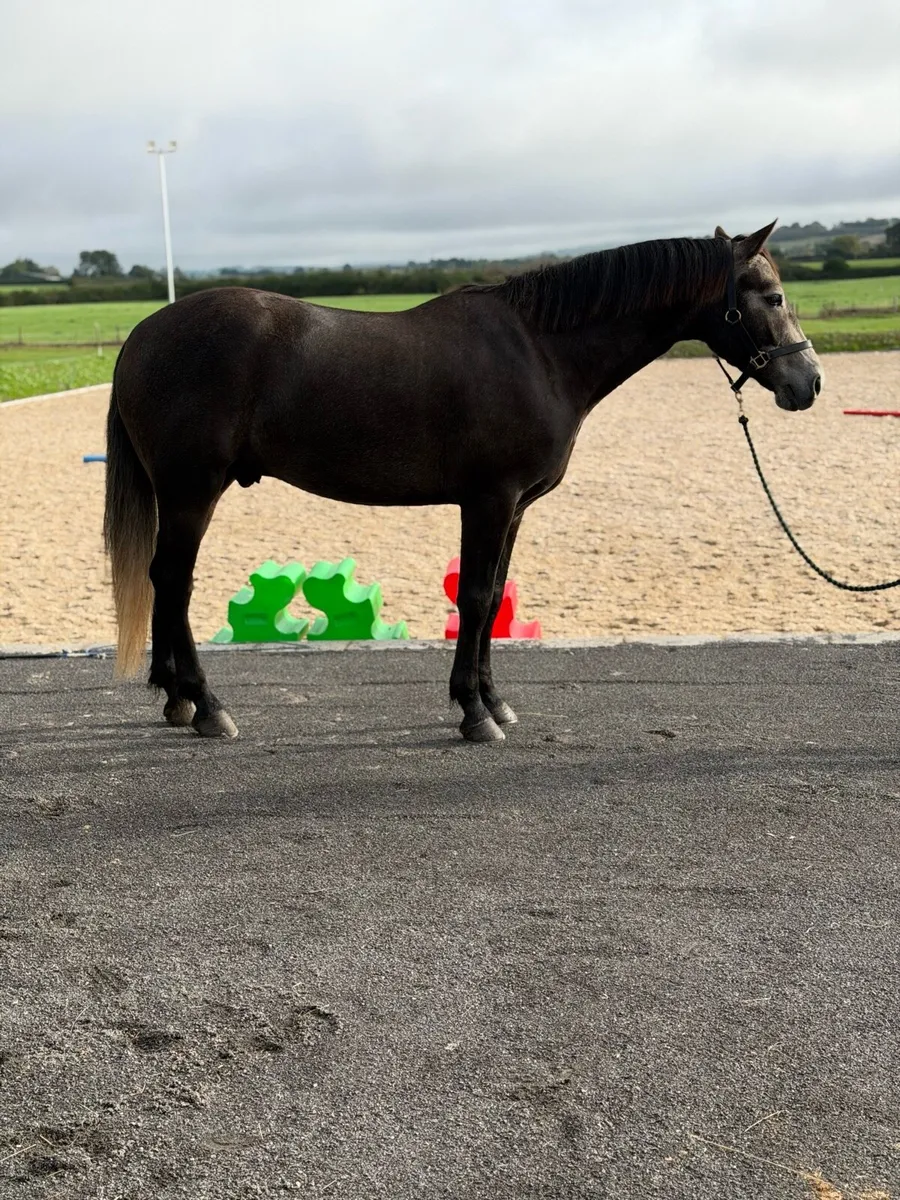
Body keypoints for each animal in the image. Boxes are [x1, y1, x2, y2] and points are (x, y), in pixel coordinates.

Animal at [104, 221, 821, 743]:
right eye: (773, 296)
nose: (808, 382)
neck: (540, 350)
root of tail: (143, 333)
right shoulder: (488, 499)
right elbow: (475, 599)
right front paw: (474, 713)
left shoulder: (515, 507)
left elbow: (495, 594)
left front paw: (495, 703)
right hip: (193, 489)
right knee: (174, 581)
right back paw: (207, 706)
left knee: (163, 581)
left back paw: (176, 699)